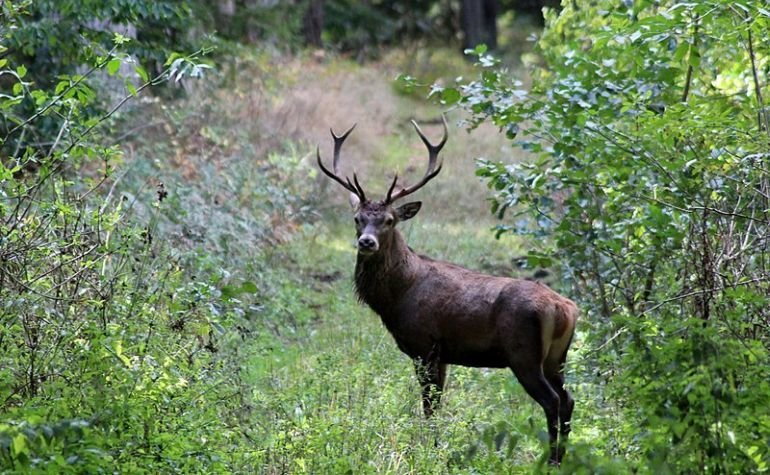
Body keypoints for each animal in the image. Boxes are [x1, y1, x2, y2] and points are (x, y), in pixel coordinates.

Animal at [314, 119, 576, 464]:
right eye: (357, 219)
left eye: (389, 220)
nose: (366, 242)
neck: (398, 295)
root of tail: (566, 310)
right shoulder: (443, 354)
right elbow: (437, 403)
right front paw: (438, 446)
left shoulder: (424, 345)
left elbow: (429, 405)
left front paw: (428, 449)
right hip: (556, 357)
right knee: (568, 399)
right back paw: (563, 457)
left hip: (524, 353)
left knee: (552, 400)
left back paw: (551, 460)